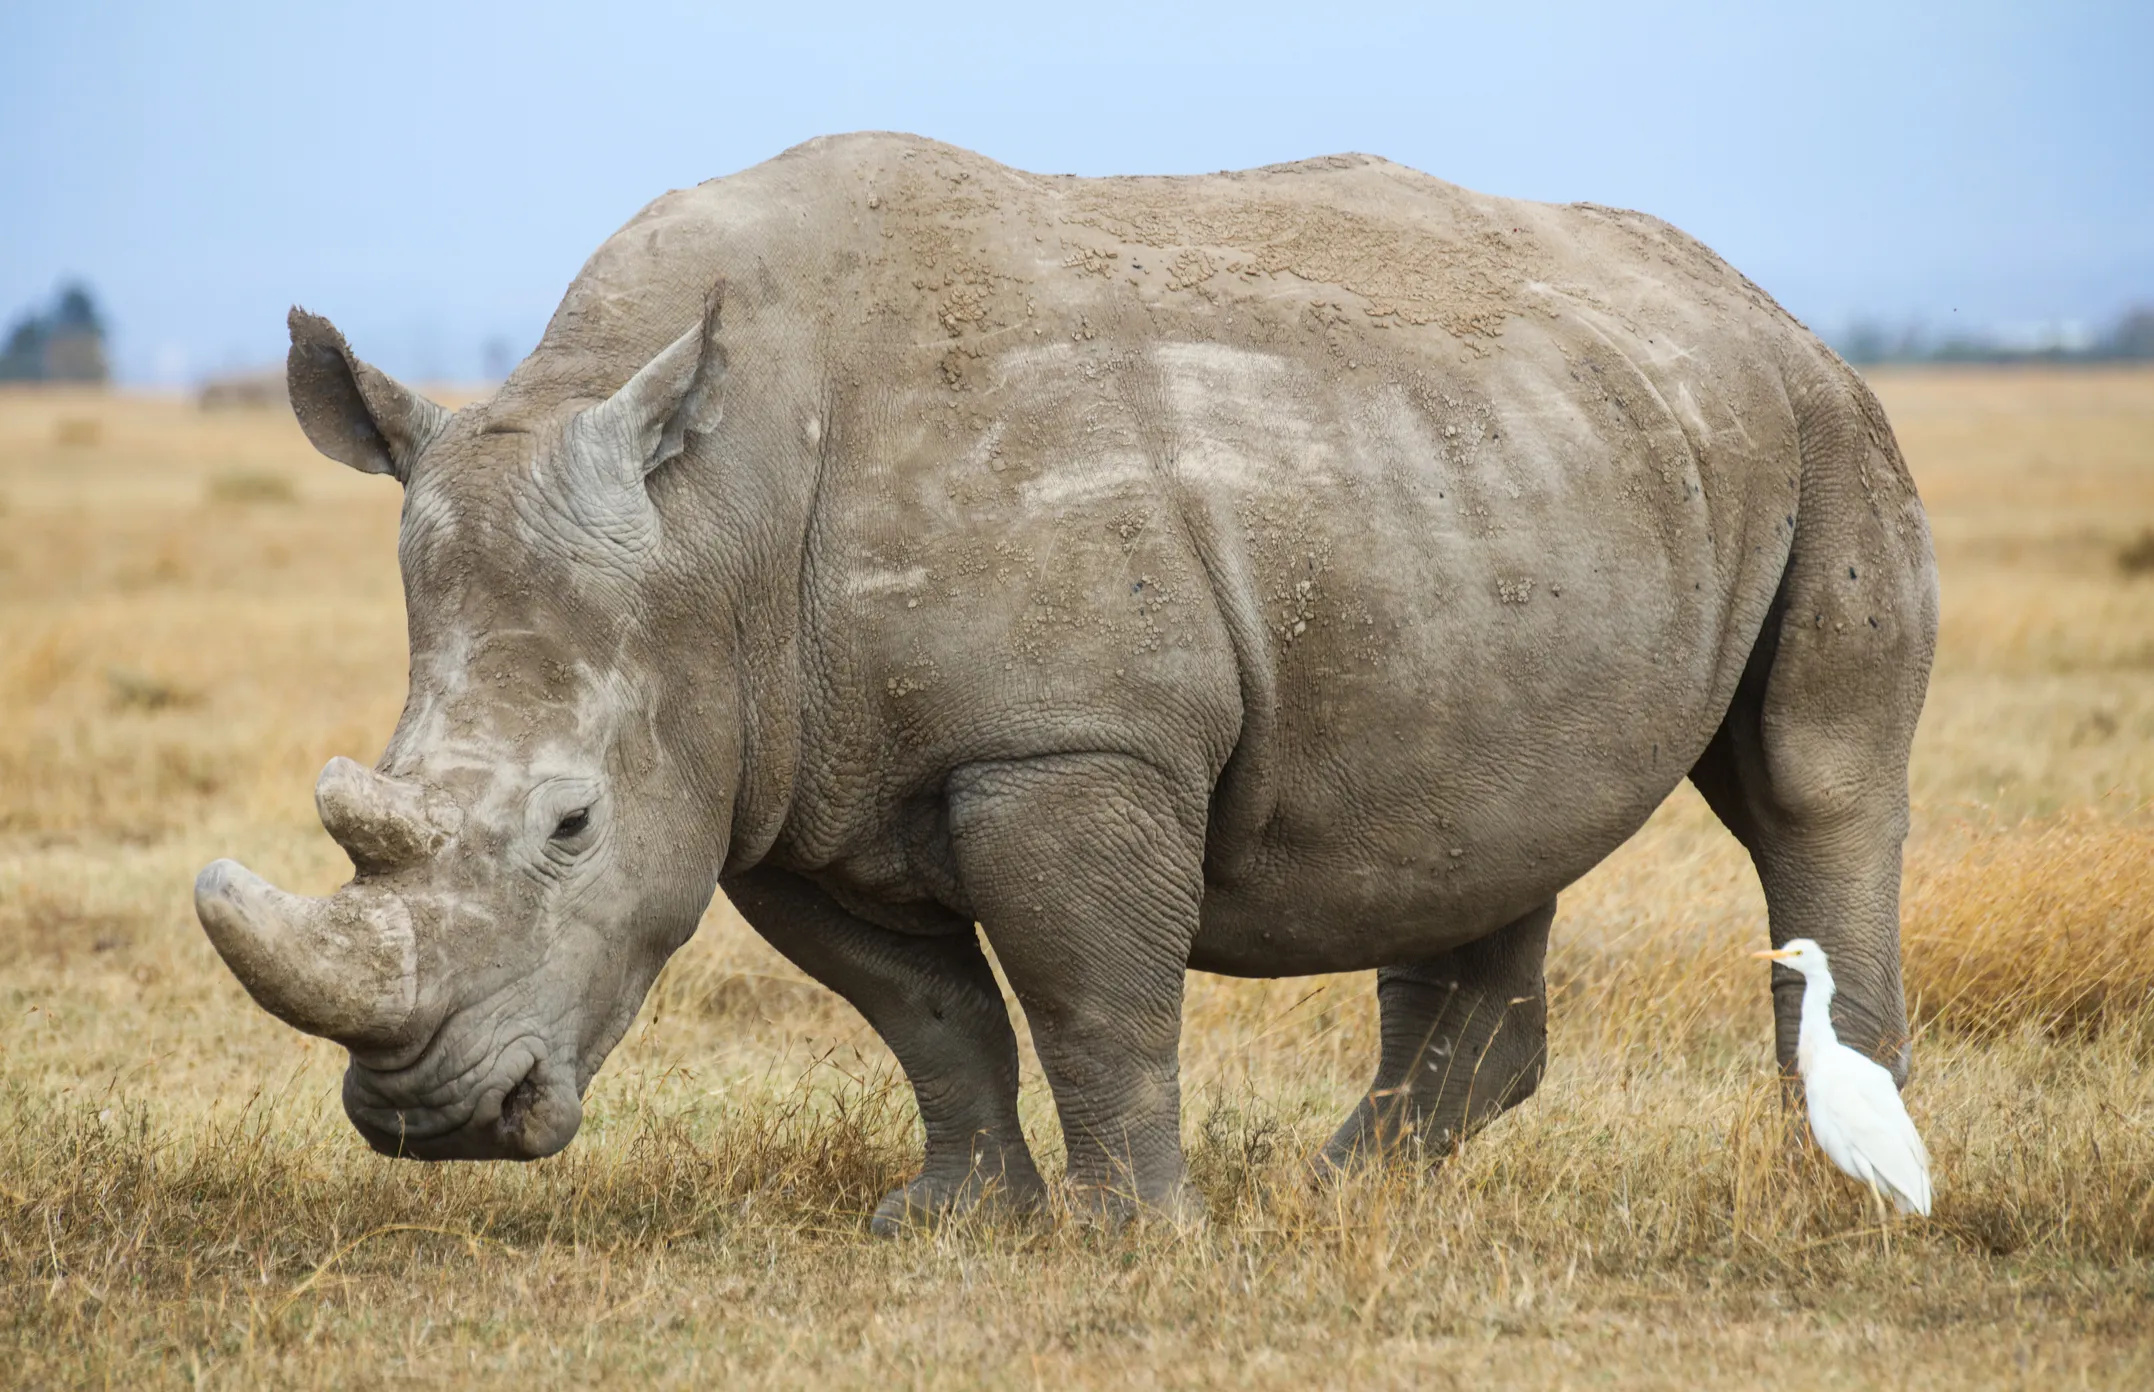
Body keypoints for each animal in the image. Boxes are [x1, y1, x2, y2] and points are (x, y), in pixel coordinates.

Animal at [198, 133, 1938, 1232]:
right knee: (1476, 816)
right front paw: (949, 1221)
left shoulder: (1066, 744)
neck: (716, 524)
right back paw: (1344, 1196)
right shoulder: (774, 767)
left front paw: (1135, 1237)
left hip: (1827, 425)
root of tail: (1750, 298)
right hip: (1526, 455)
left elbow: (1090, 993)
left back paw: (1824, 1173)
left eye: (569, 829)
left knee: (1816, 786)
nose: (428, 1122)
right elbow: (928, 1011)